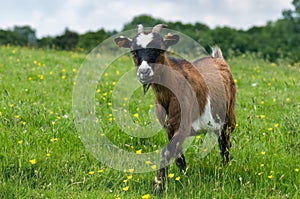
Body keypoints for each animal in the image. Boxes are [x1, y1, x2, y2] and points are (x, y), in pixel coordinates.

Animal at [113, 23, 236, 193]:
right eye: (133, 51)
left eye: (160, 49)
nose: (144, 72)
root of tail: (218, 59)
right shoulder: (168, 127)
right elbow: (177, 154)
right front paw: (184, 176)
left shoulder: (183, 126)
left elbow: (166, 151)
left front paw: (157, 186)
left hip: (229, 118)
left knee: (225, 144)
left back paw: (225, 168)